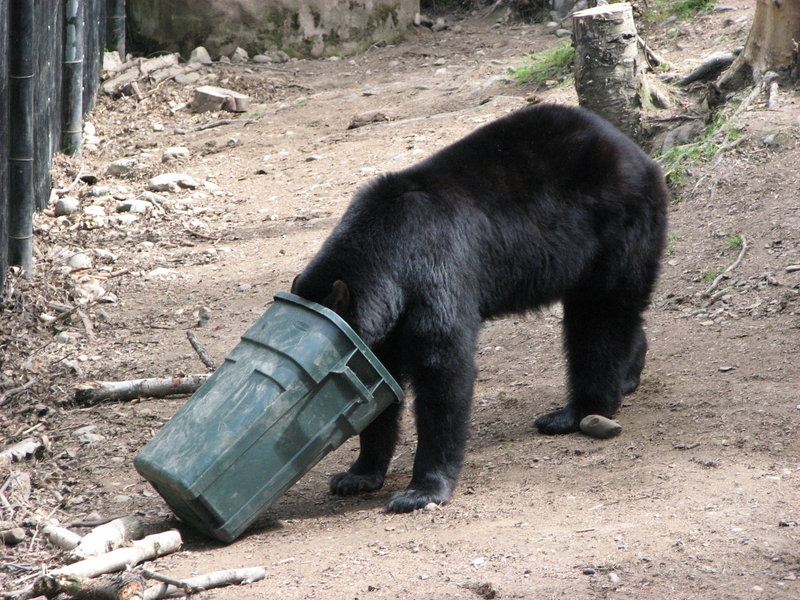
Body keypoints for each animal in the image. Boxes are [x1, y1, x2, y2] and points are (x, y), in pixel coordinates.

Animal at [290, 103, 668, 513]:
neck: (386, 246)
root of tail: (635, 152)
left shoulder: (432, 268)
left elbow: (443, 368)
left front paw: (421, 490)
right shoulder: (383, 328)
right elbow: (378, 392)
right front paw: (356, 476)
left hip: (615, 225)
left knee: (601, 314)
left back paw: (577, 411)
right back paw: (627, 375)